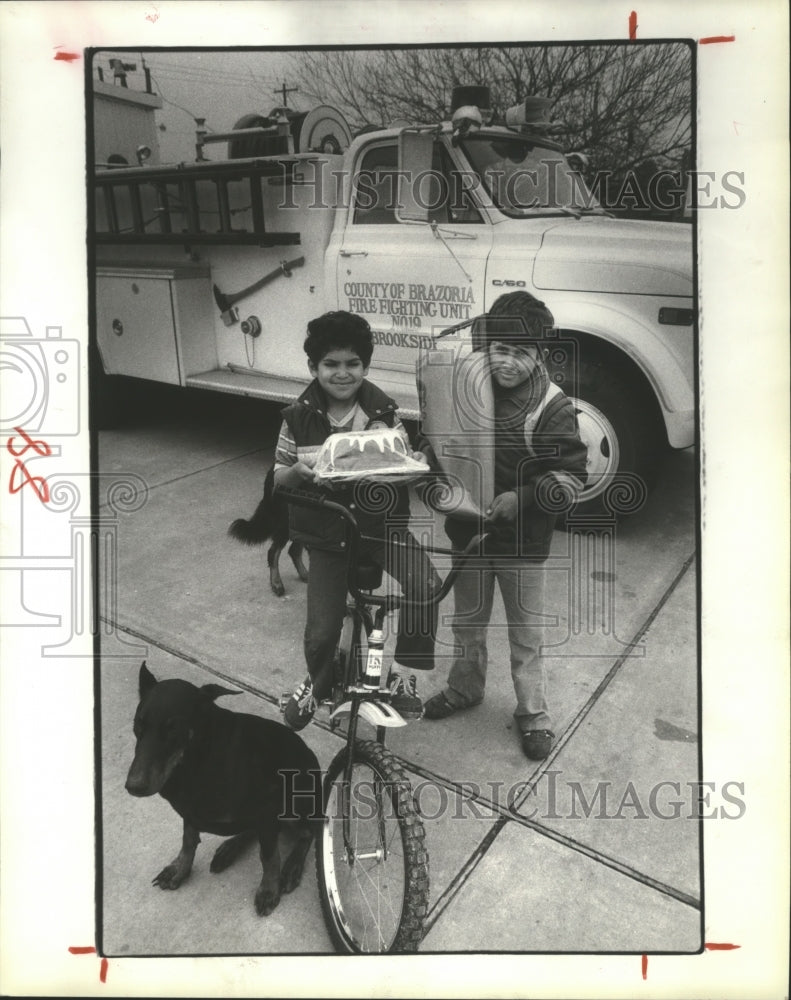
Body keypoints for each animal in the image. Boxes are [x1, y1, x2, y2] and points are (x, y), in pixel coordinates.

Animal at [124, 660, 322, 916]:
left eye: (174, 729)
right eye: (138, 725)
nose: (134, 786)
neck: (196, 760)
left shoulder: (268, 809)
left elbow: (269, 856)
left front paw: (269, 889)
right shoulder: (189, 811)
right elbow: (188, 841)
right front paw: (179, 869)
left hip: (297, 800)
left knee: (307, 832)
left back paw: (291, 868)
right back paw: (230, 848)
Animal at [229, 466, 310, 596]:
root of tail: (274, 468)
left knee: (294, 550)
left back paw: (304, 575)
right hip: (286, 521)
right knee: (274, 552)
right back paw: (276, 583)